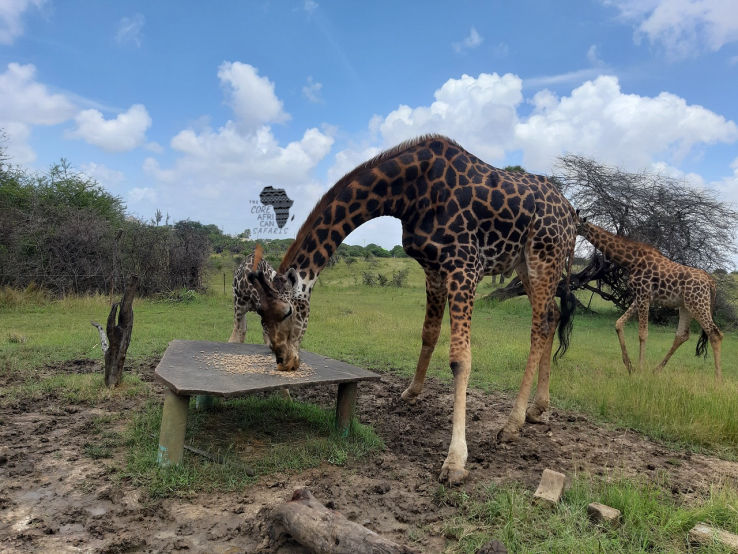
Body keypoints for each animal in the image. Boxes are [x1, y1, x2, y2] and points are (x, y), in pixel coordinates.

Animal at [248, 135, 578, 485]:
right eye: (260, 318)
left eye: (286, 313)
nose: (284, 361)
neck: (407, 193)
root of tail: (572, 213)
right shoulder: (433, 269)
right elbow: (429, 334)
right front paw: (411, 392)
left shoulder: (465, 264)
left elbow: (460, 358)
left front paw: (455, 461)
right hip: (525, 264)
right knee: (553, 316)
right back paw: (538, 409)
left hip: (543, 256)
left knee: (541, 324)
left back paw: (512, 424)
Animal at [576, 218, 723, 379]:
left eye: (576, 223)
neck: (631, 260)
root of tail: (711, 282)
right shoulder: (640, 297)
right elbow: (619, 323)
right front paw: (629, 366)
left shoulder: (644, 295)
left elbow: (642, 334)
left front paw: (640, 370)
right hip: (686, 306)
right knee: (682, 335)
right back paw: (656, 370)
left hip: (698, 303)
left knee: (715, 333)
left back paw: (718, 379)